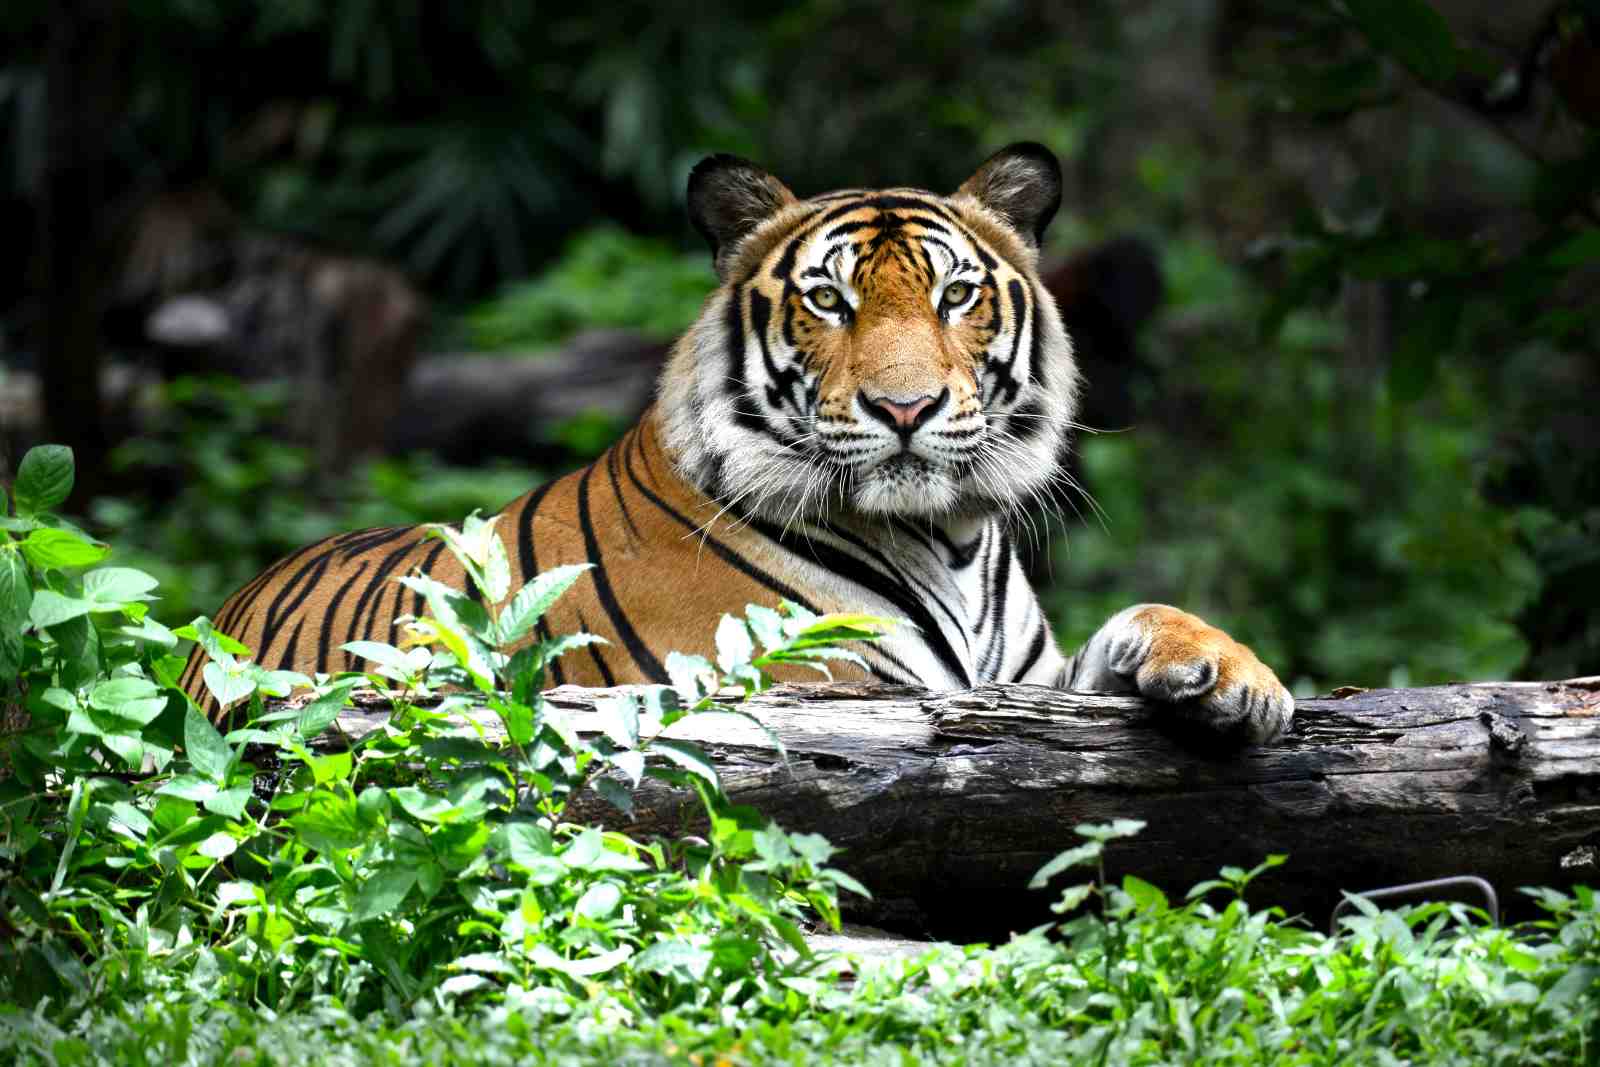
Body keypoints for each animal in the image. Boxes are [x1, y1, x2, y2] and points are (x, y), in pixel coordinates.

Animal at [182, 143, 1293, 743]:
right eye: (829, 300)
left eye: (955, 296)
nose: (905, 408)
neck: (949, 537)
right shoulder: (810, 686)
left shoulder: (1026, 682)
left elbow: (1139, 619)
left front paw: (1235, 676)